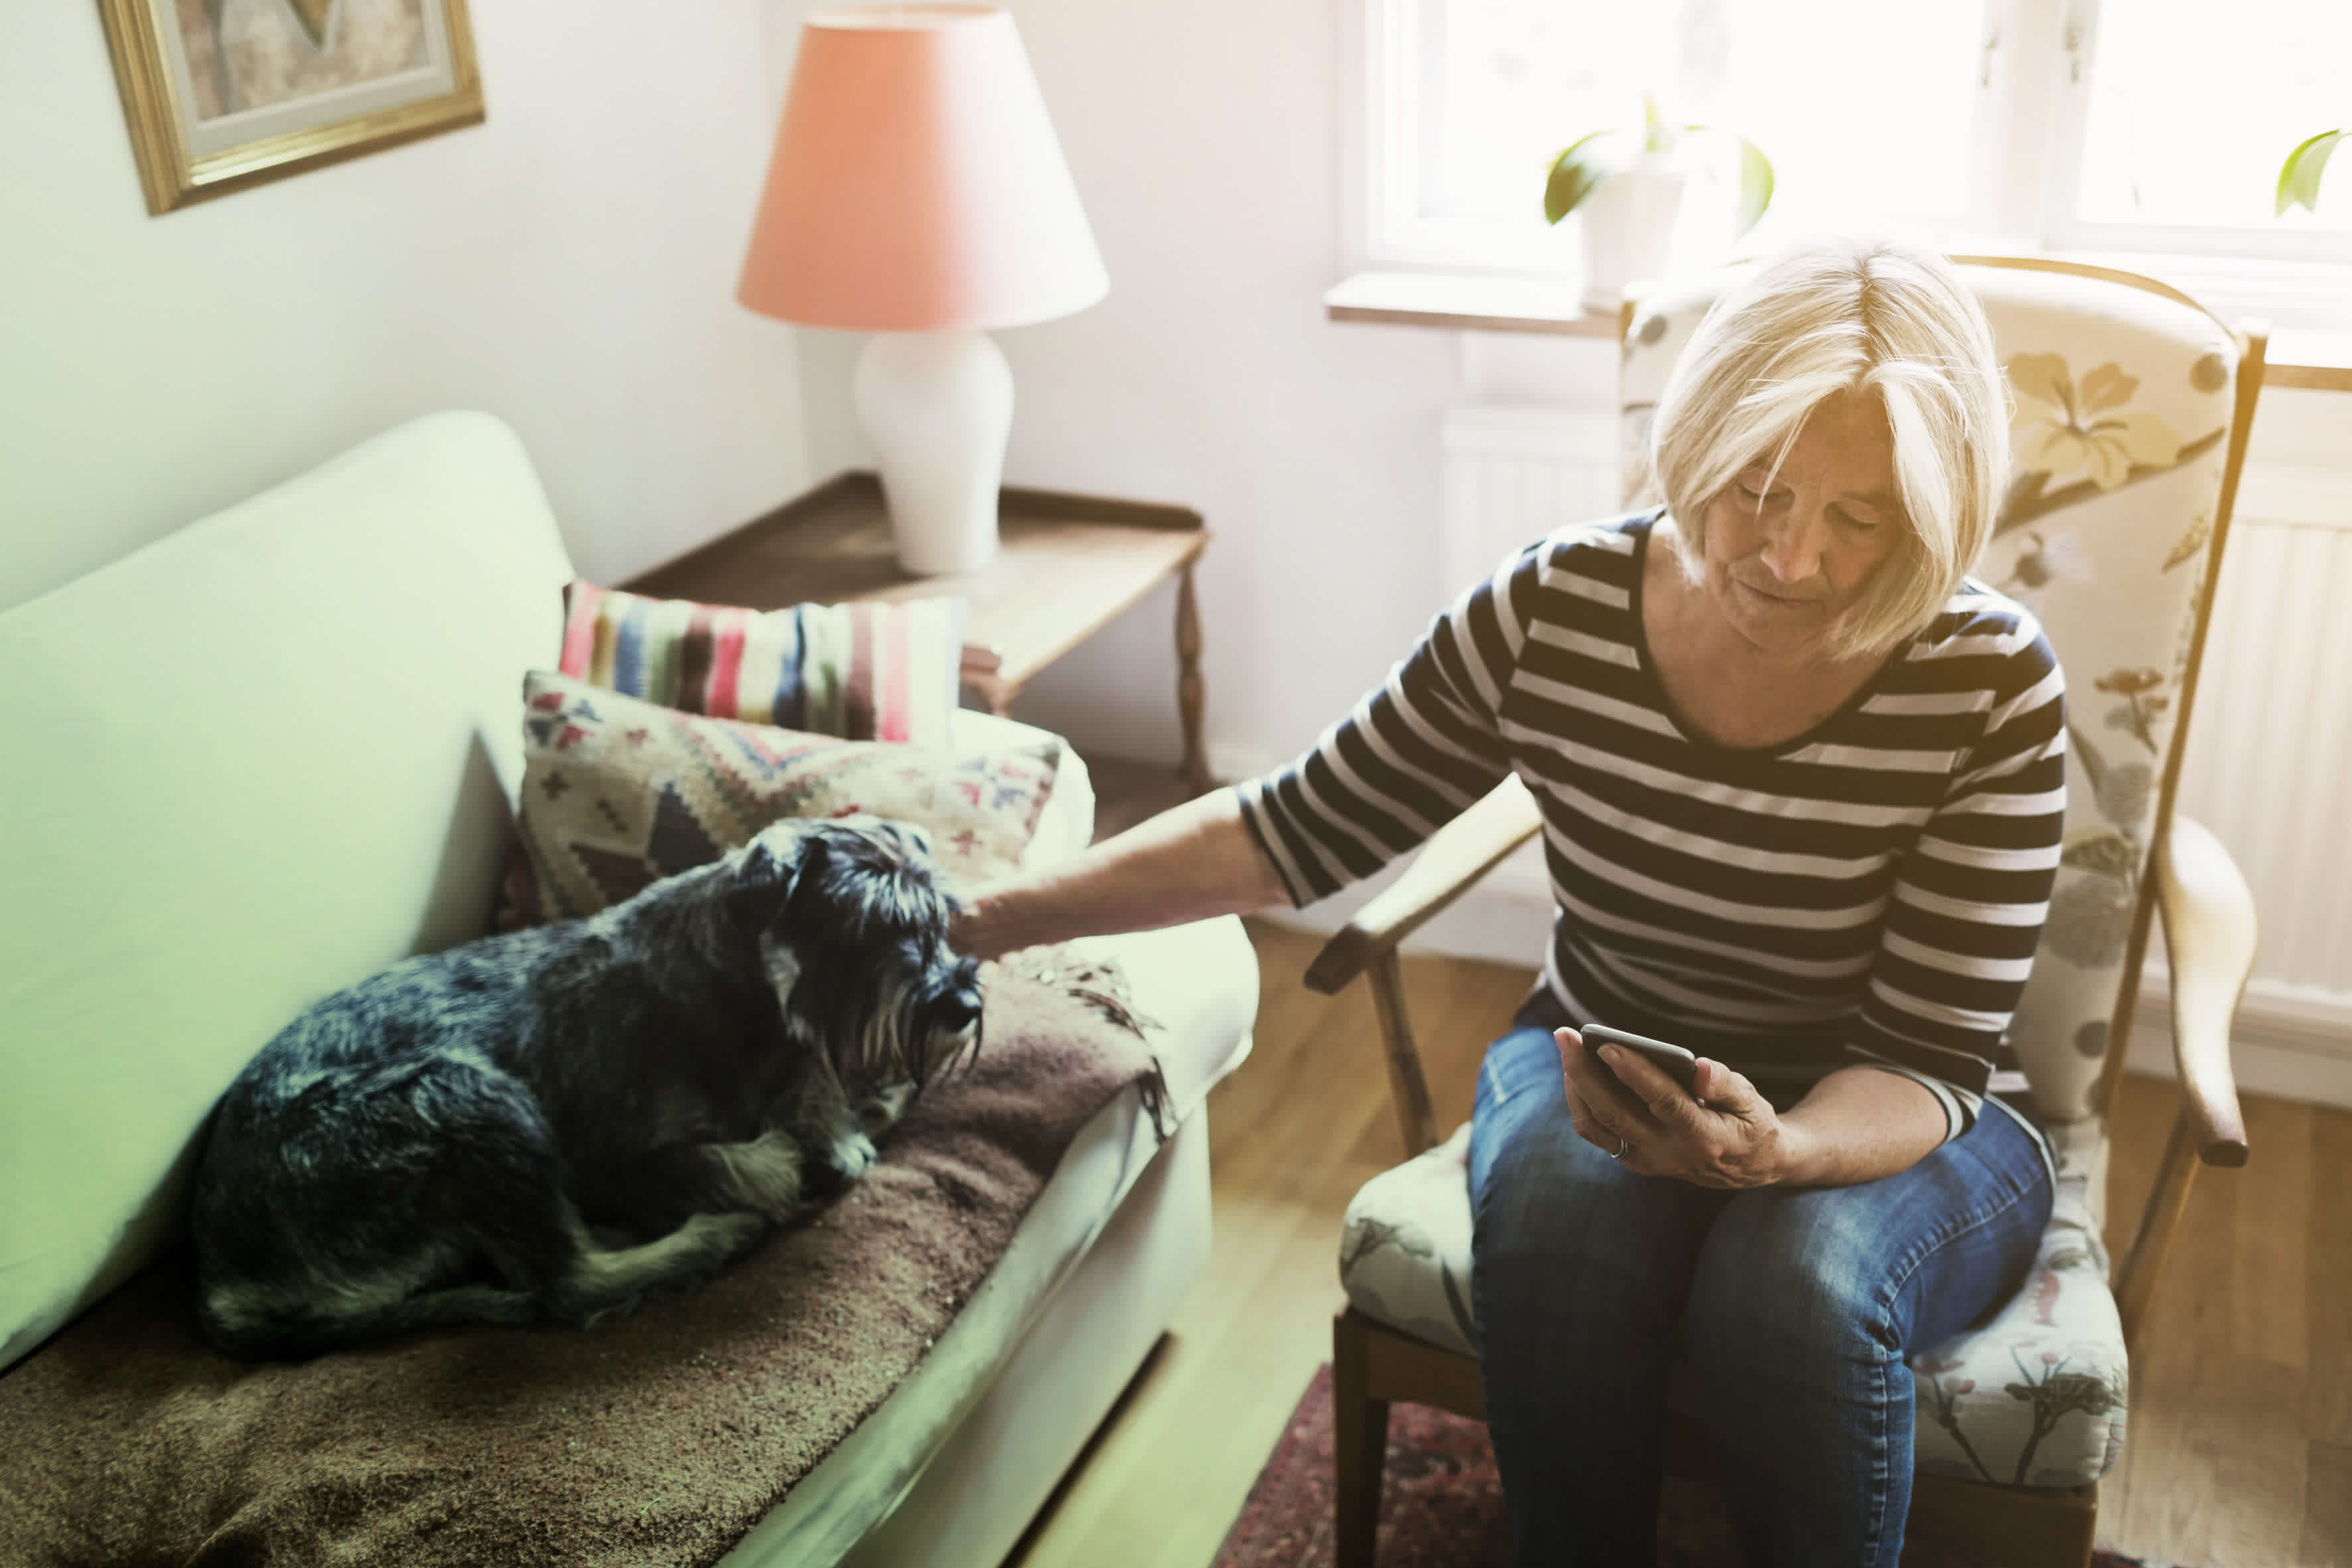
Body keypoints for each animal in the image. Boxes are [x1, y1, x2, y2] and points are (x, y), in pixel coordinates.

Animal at [188, 823, 982, 1363]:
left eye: (939, 916)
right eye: (864, 927)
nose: (963, 1003)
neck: (736, 988)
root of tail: (223, 1276)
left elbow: (820, 1105)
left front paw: (845, 1127)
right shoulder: (621, 1158)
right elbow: (738, 1161)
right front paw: (795, 1158)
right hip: (465, 1099)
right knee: (569, 1283)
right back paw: (704, 1238)